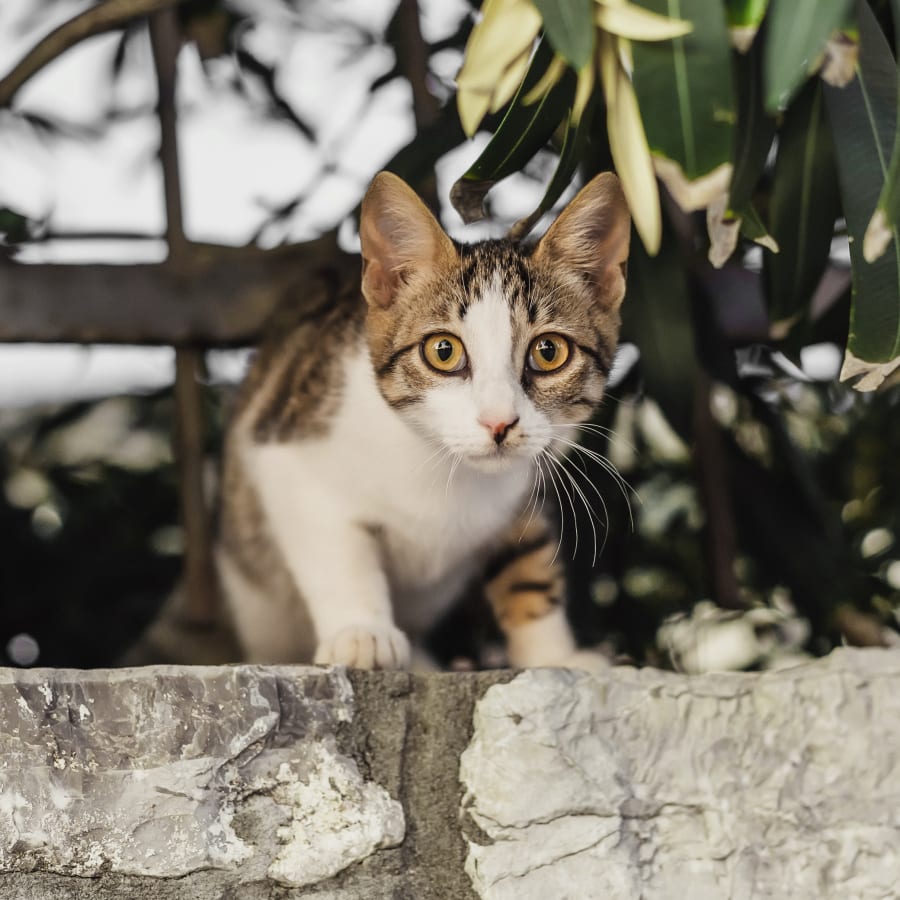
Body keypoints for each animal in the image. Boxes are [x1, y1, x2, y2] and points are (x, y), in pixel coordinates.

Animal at [214, 172, 628, 672]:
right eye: (443, 351)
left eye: (548, 352)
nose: (498, 423)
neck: (443, 465)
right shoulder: (285, 452)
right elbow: (337, 548)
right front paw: (361, 631)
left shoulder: (534, 474)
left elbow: (528, 559)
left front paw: (552, 656)